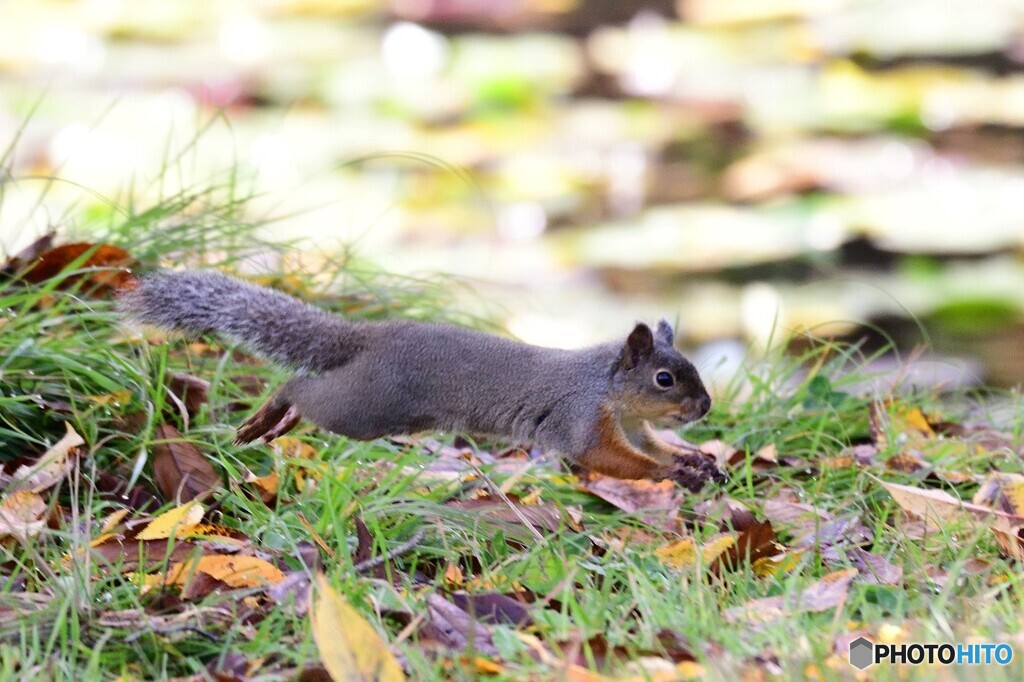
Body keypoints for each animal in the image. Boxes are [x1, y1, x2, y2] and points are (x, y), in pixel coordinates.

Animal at [117, 270, 729, 489]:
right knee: (304, 390)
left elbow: (652, 445)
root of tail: (371, 337)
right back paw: (273, 412)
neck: (609, 390)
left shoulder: (633, 425)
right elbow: (604, 457)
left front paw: (695, 460)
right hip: (365, 408)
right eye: (665, 378)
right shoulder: (580, 416)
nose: (704, 408)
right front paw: (671, 473)